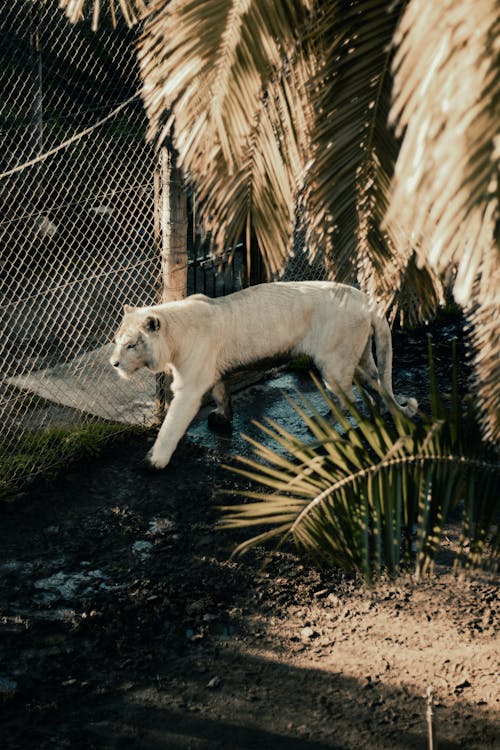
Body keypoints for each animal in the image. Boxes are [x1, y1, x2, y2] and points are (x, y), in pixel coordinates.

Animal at [110, 282, 418, 470]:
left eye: (131, 345)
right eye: (116, 341)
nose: (113, 363)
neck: (172, 337)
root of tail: (366, 300)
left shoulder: (190, 386)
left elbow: (171, 427)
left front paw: (153, 462)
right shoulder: (213, 371)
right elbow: (221, 392)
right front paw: (222, 418)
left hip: (334, 363)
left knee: (346, 400)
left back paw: (323, 428)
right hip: (359, 358)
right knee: (376, 384)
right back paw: (382, 412)